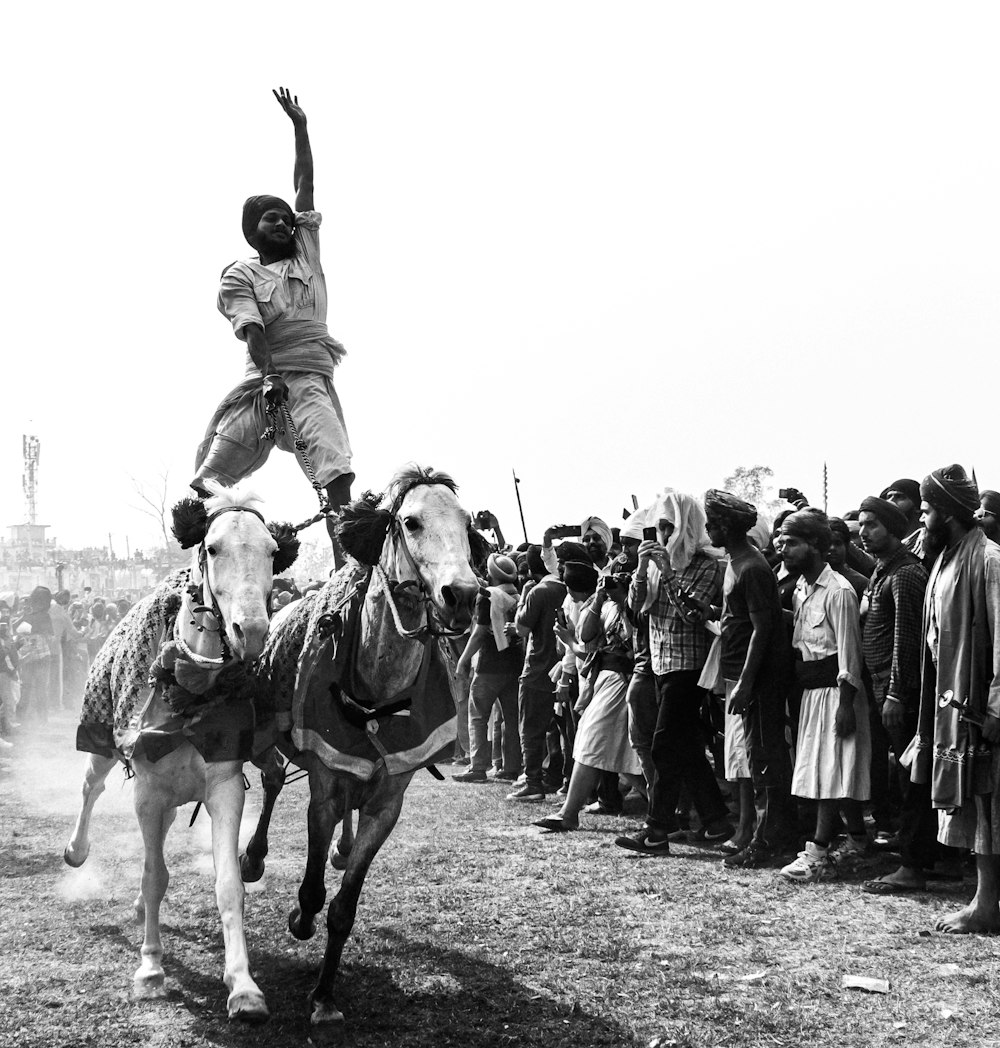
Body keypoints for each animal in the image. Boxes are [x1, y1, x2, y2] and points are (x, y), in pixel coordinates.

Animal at [61, 484, 293, 1022]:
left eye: (273, 551)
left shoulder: (224, 786)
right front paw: (150, 970)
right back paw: (76, 850)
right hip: (104, 744)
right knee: (91, 786)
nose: (251, 630)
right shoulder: (147, 791)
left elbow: (228, 884)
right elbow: (154, 876)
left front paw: (243, 986)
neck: (192, 689)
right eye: (214, 548)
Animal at [245, 467, 486, 1031]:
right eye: (411, 521)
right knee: (270, 779)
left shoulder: (388, 800)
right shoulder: (324, 784)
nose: (463, 594)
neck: (377, 690)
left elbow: (344, 905)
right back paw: (253, 858)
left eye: (466, 523)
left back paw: (339, 847)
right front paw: (300, 919)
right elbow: (312, 889)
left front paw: (325, 995)